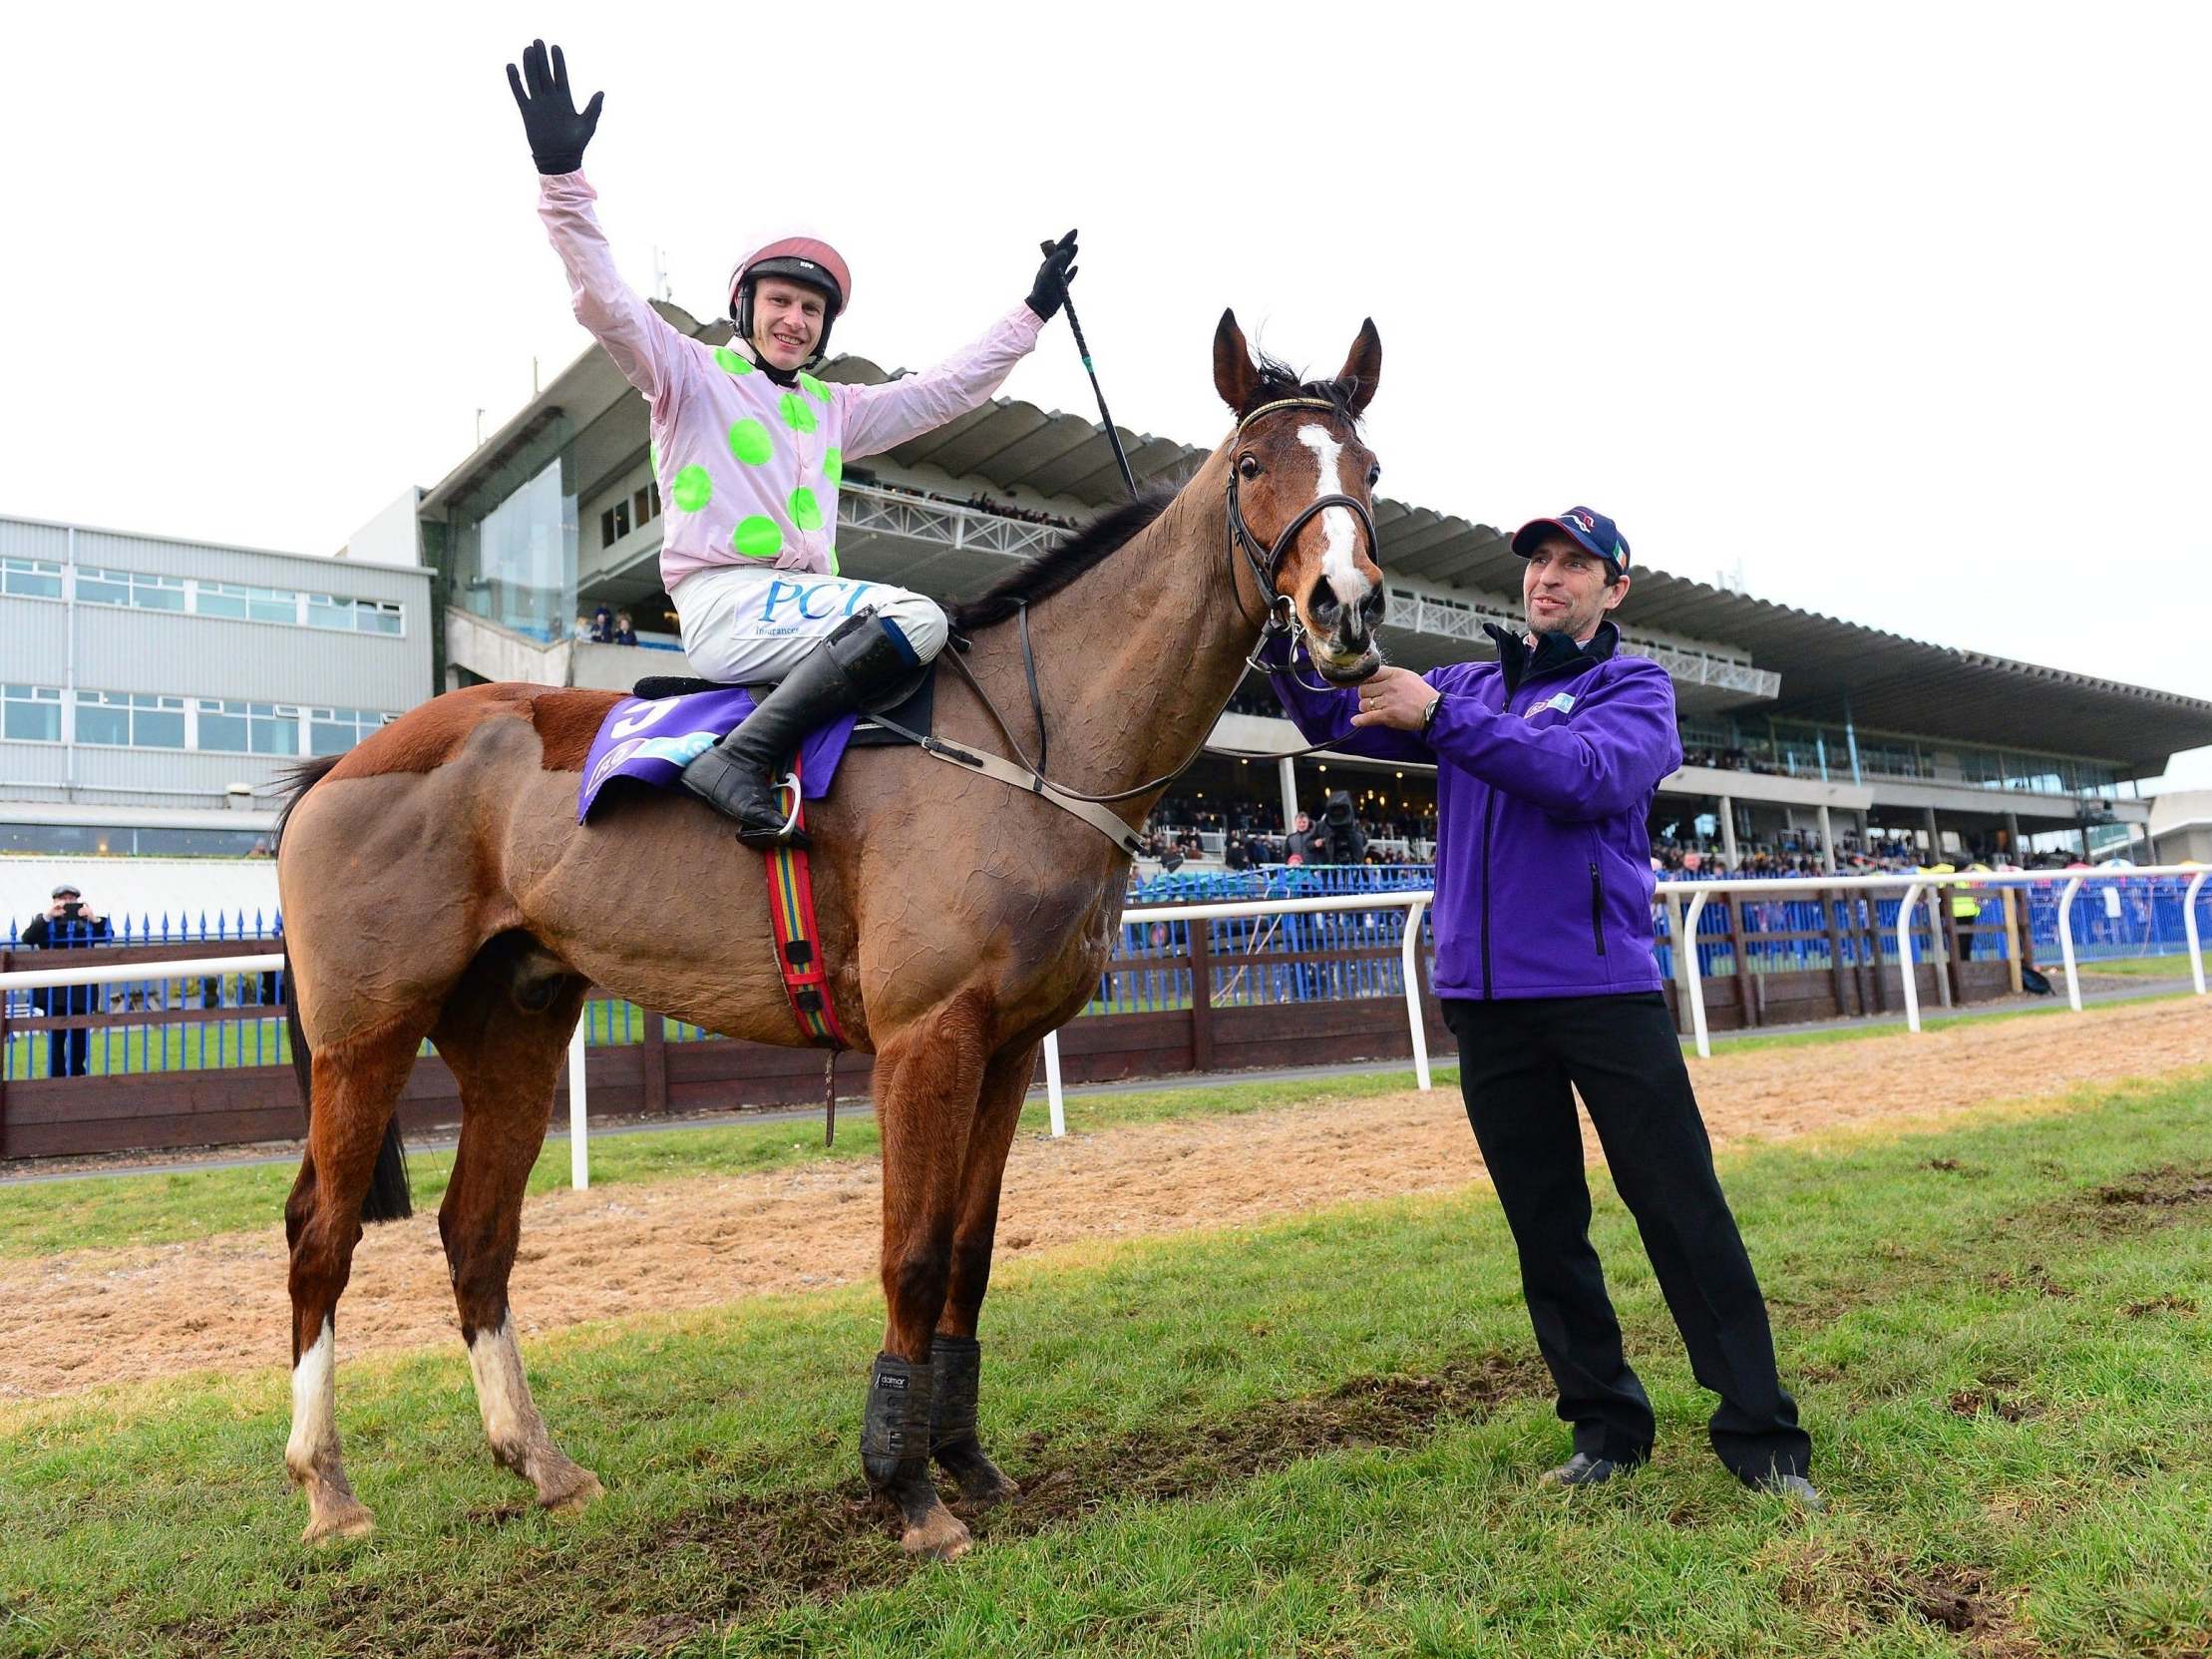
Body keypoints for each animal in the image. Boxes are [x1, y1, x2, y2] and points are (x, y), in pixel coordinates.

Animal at [271, 309, 1380, 1557]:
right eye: (1252, 465)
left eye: (1369, 468)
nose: (1345, 605)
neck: (1032, 734)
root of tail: (338, 767)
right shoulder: (924, 1037)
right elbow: (912, 1254)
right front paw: (906, 1490)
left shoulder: (1005, 1046)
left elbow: (970, 1255)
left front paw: (965, 1460)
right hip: (367, 1030)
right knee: (321, 1232)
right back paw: (328, 1486)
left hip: (511, 1024)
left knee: (476, 1228)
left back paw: (541, 1460)